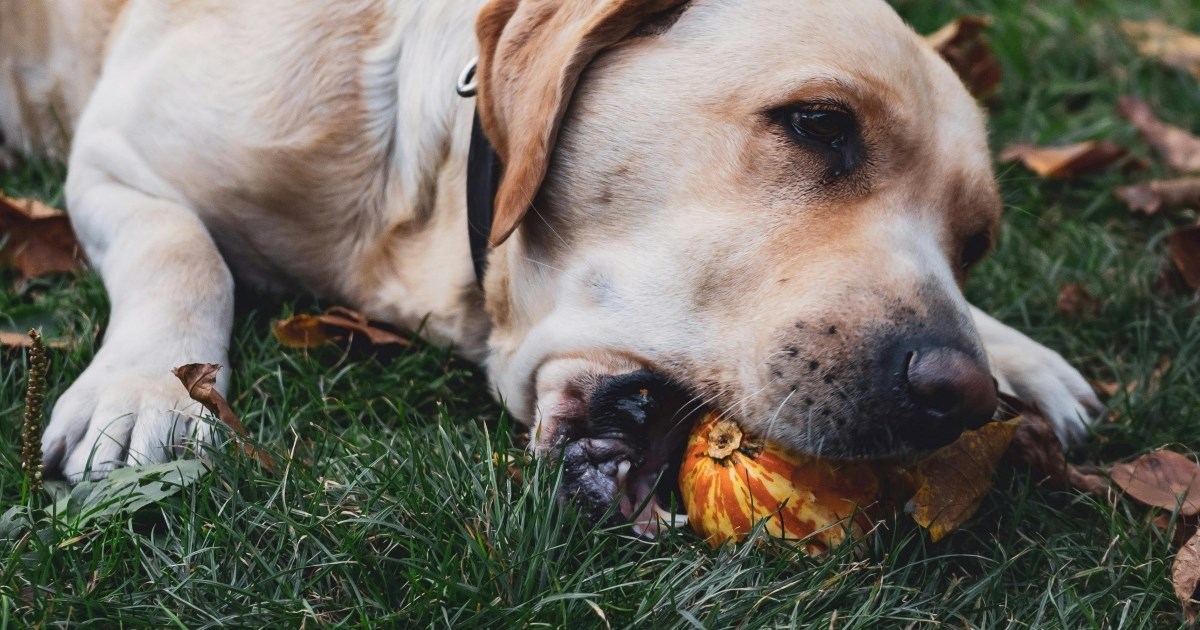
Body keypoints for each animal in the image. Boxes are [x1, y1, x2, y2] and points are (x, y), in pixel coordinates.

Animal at [4, 0, 1099, 530]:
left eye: (974, 242)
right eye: (821, 124)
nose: (959, 393)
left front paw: (1019, 352)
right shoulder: (114, 157)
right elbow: (183, 251)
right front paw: (148, 390)